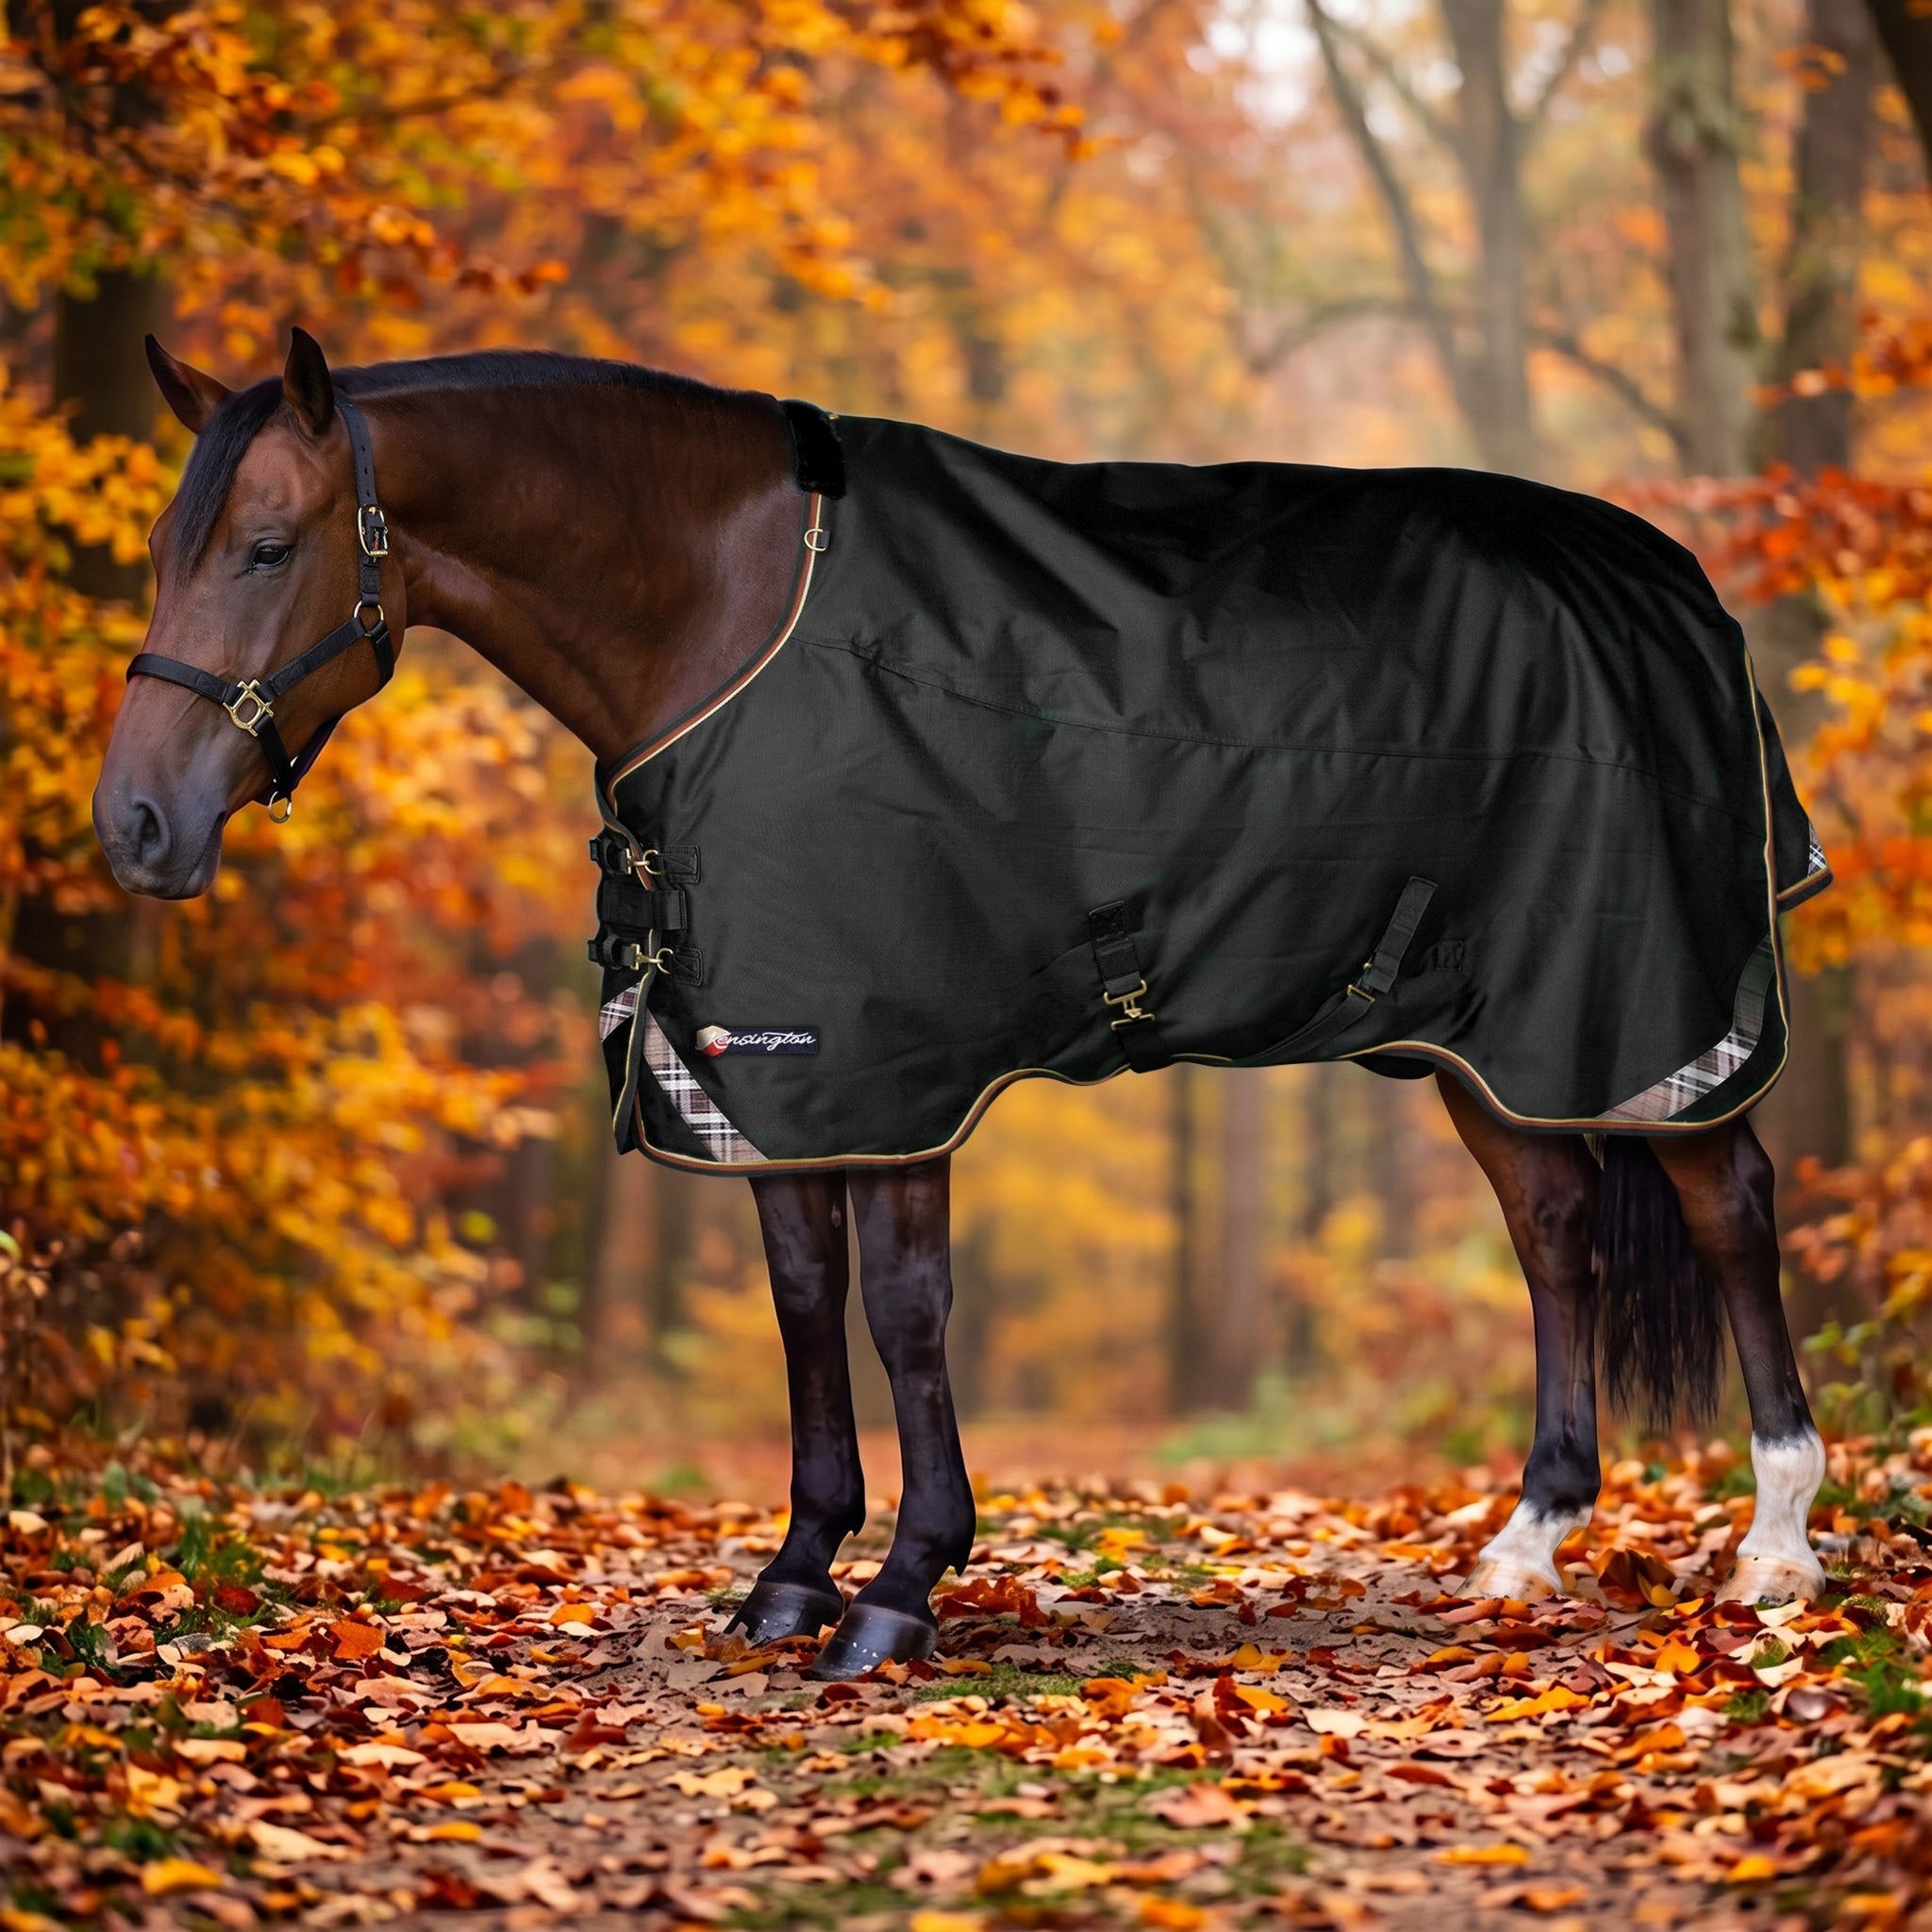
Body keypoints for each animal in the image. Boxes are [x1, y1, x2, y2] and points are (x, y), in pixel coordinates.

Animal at [94, 330, 1829, 1680]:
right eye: (169, 548)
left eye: (266, 546)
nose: (134, 829)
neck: (733, 612)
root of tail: (1672, 579)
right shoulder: (764, 1067)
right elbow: (805, 1305)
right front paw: (794, 1576)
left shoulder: (894, 1059)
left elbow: (905, 1311)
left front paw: (903, 1589)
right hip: (1492, 1036)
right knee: (1555, 1224)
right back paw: (1525, 1547)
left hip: (1645, 1012)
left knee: (1729, 1206)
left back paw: (1775, 1548)